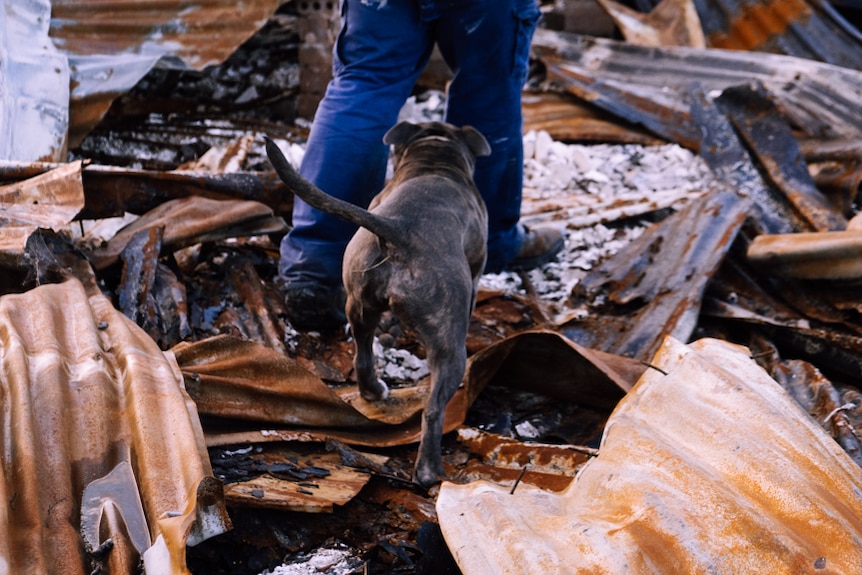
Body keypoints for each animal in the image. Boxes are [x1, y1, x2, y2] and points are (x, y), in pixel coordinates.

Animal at [266, 120, 490, 486]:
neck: (435, 158)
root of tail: (400, 229)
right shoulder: (477, 267)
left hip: (358, 303)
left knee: (362, 354)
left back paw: (373, 390)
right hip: (448, 345)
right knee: (433, 409)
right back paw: (431, 474)